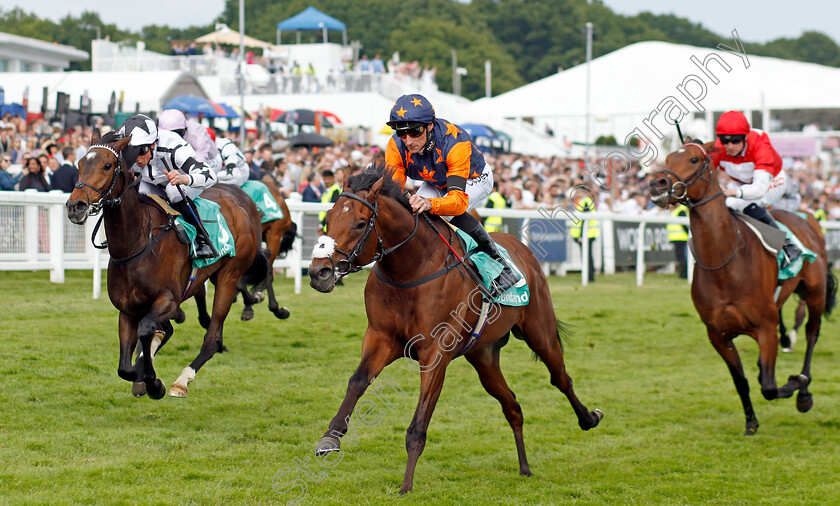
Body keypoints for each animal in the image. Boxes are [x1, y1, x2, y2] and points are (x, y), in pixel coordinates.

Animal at [67, 130, 268, 400]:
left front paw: (153, 382)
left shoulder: (169, 299)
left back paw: (181, 381)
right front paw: (142, 375)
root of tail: (240, 206)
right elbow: (125, 367)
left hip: (229, 276)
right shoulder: (127, 310)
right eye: (79, 164)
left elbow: (145, 331)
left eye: (107, 165)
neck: (137, 244)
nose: (75, 206)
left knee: (213, 337)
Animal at [308, 165, 604, 494]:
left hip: (541, 333)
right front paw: (330, 438)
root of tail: (520, 248)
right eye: (327, 219)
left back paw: (589, 418)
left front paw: (406, 486)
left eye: (361, 223)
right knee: (512, 405)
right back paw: (525, 467)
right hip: (483, 356)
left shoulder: (435, 352)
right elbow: (358, 380)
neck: (411, 269)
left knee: (560, 378)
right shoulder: (381, 338)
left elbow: (418, 424)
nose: (319, 273)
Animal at [648, 141, 832, 434]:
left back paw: (804, 387)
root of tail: (808, 219)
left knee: (812, 332)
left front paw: (797, 384)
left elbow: (770, 388)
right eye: (668, 158)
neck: (725, 263)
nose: (658, 184)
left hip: (815, 292)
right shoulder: (718, 335)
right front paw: (751, 422)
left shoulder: (765, 328)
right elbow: (741, 382)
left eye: (694, 159)